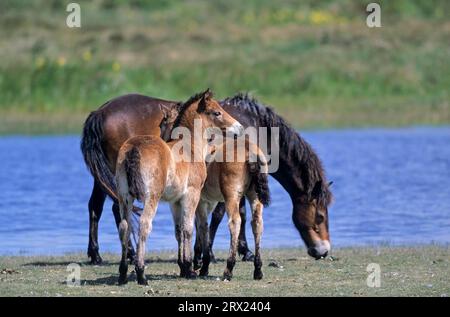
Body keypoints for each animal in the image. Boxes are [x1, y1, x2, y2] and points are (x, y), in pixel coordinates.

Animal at [81, 92, 332, 262]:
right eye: (320, 216)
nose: (323, 251)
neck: (255, 126)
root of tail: (99, 112)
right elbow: (221, 214)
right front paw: (208, 252)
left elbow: (238, 212)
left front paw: (242, 250)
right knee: (116, 209)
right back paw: (130, 254)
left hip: (104, 177)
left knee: (96, 207)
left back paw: (96, 255)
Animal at [114, 89, 244, 284]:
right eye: (217, 112)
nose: (240, 128)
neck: (190, 147)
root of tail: (133, 148)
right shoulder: (192, 194)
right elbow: (189, 228)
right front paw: (190, 268)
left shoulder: (175, 201)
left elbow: (179, 230)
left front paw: (183, 267)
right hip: (151, 197)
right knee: (144, 225)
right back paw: (141, 274)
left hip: (124, 198)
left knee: (124, 227)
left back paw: (122, 274)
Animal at [195, 138, 268, 278]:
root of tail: (247, 147)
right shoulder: (209, 202)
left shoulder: (201, 202)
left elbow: (202, 227)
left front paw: (202, 265)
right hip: (254, 196)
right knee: (257, 222)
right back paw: (258, 269)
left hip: (231, 197)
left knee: (235, 222)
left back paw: (228, 269)